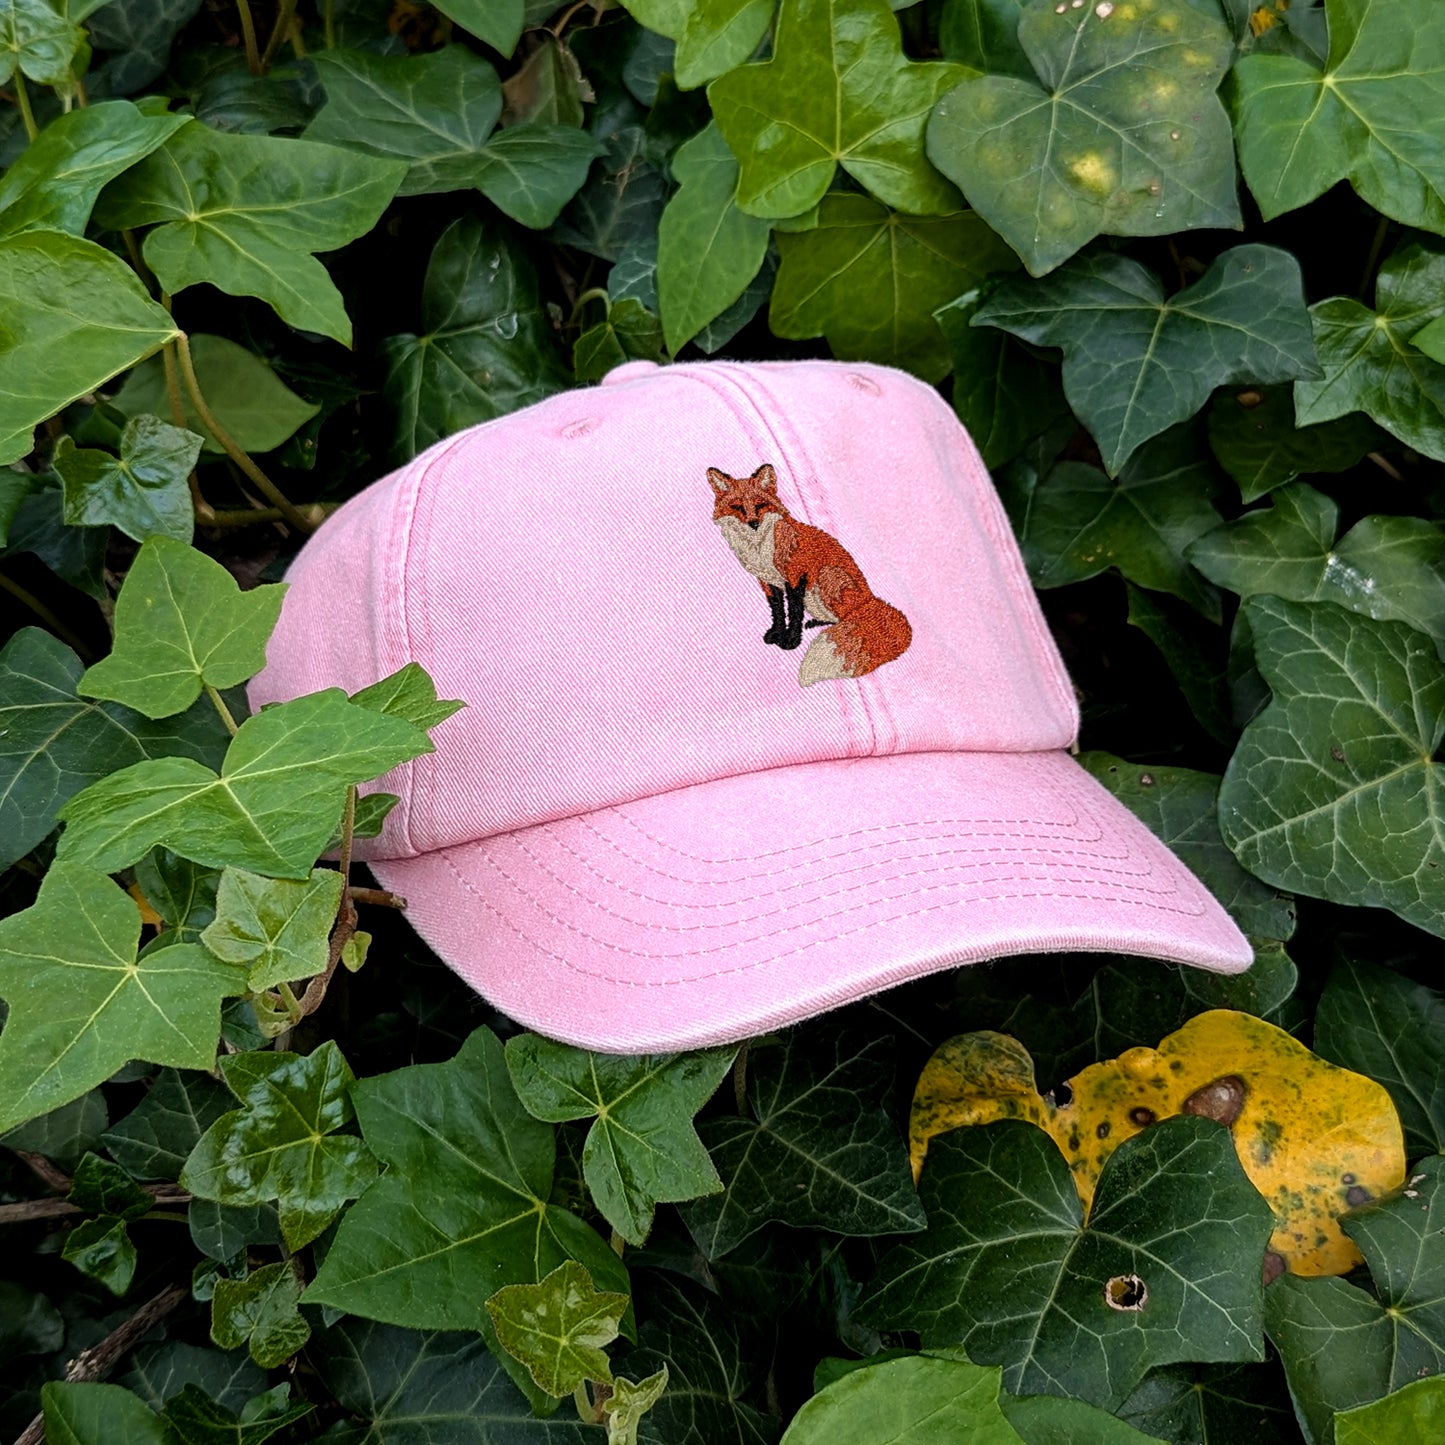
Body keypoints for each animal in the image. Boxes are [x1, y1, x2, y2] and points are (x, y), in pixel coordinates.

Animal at [707, 464, 912, 687]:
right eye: (737, 507)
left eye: (760, 505)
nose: (753, 524)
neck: (760, 547)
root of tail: (870, 600)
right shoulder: (768, 582)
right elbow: (777, 611)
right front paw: (776, 633)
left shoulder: (796, 577)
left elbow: (794, 613)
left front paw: (791, 640)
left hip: (826, 577)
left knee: (845, 617)